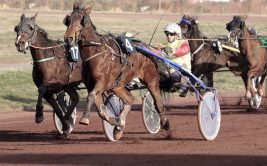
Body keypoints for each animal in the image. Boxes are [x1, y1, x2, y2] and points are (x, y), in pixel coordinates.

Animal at [63, 2, 170, 140]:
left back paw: (165, 123)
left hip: (151, 81)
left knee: (158, 103)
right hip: (117, 85)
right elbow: (101, 109)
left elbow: (91, 96)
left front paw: (85, 118)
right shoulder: (92, 84)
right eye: (69, 19)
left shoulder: (102, 81)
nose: (68, 38)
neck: (95, 52)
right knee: (130, 99)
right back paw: (119, 127)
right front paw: (116, 123)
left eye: (81, 20)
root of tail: (147, 48)